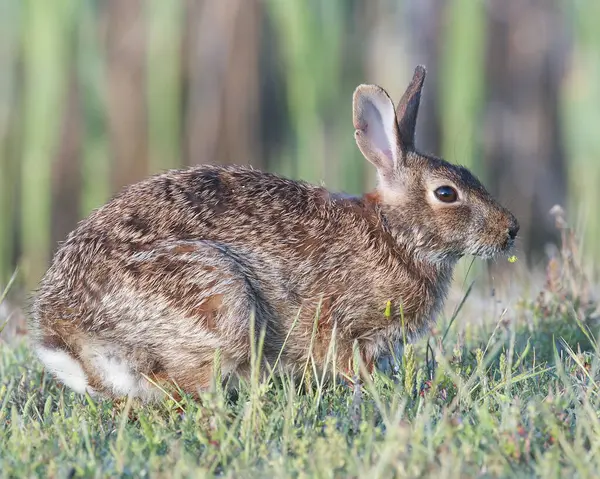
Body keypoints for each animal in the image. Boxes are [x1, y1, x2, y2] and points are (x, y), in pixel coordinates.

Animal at [29, 64, 516, 402]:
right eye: (446, 193)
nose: (511, 230)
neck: (396, 235)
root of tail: (70, 335)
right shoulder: (339, 322)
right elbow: (343, 358)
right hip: (216, 297)